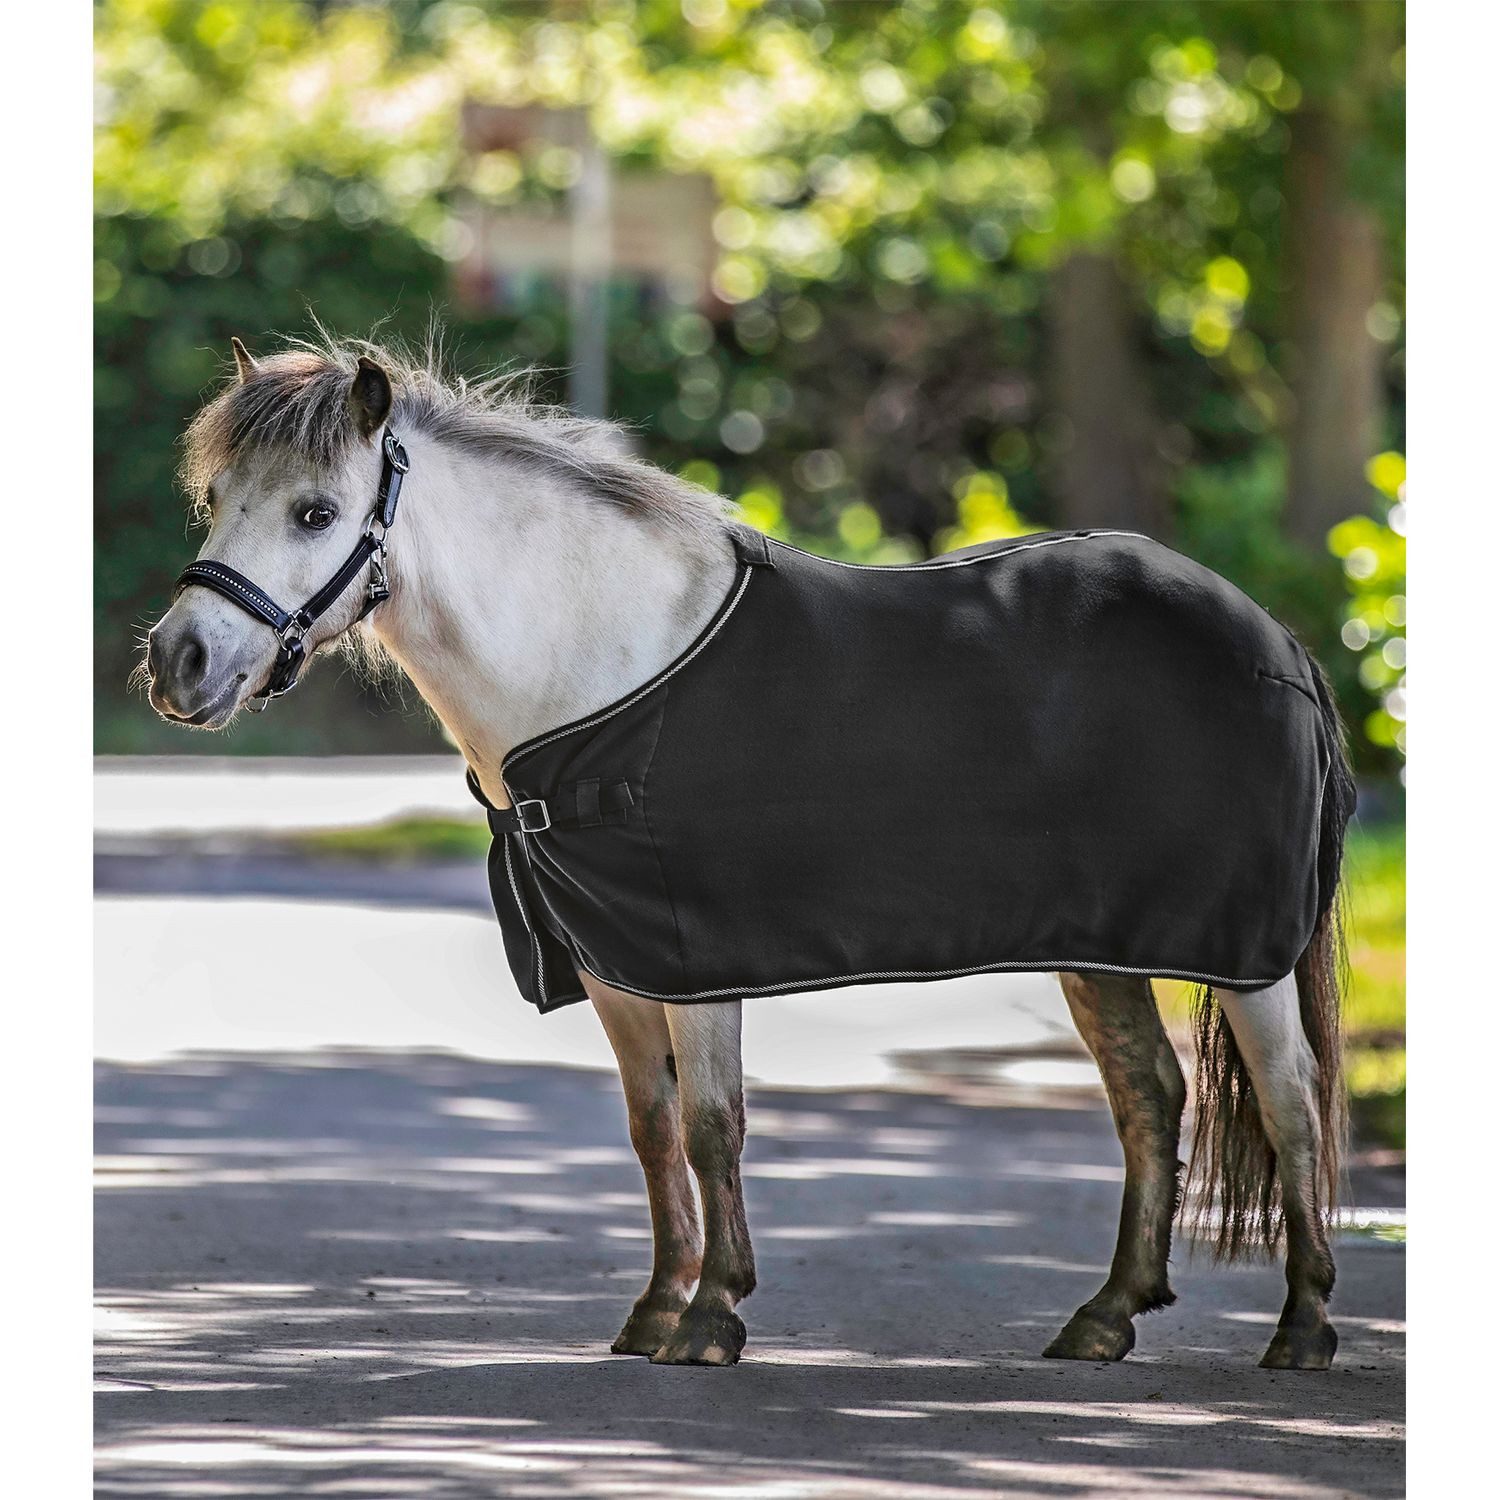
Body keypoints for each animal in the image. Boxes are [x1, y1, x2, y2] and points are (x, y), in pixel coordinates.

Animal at [143, 334, 1352, 1372]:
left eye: (315, 511)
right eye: (216, 500)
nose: (177, 662)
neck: (597, 662)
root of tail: (1276, 639)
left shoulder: (692, 954)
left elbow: (714, 1126)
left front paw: (714, 1315)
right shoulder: (615, 964)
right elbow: (652, 1129)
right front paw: (656, 1307)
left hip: (1244, 953)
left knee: (1293, 1101)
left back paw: (1301, 1328)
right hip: (1103, 949)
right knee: (1150, 1095)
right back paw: (1106, 1317)